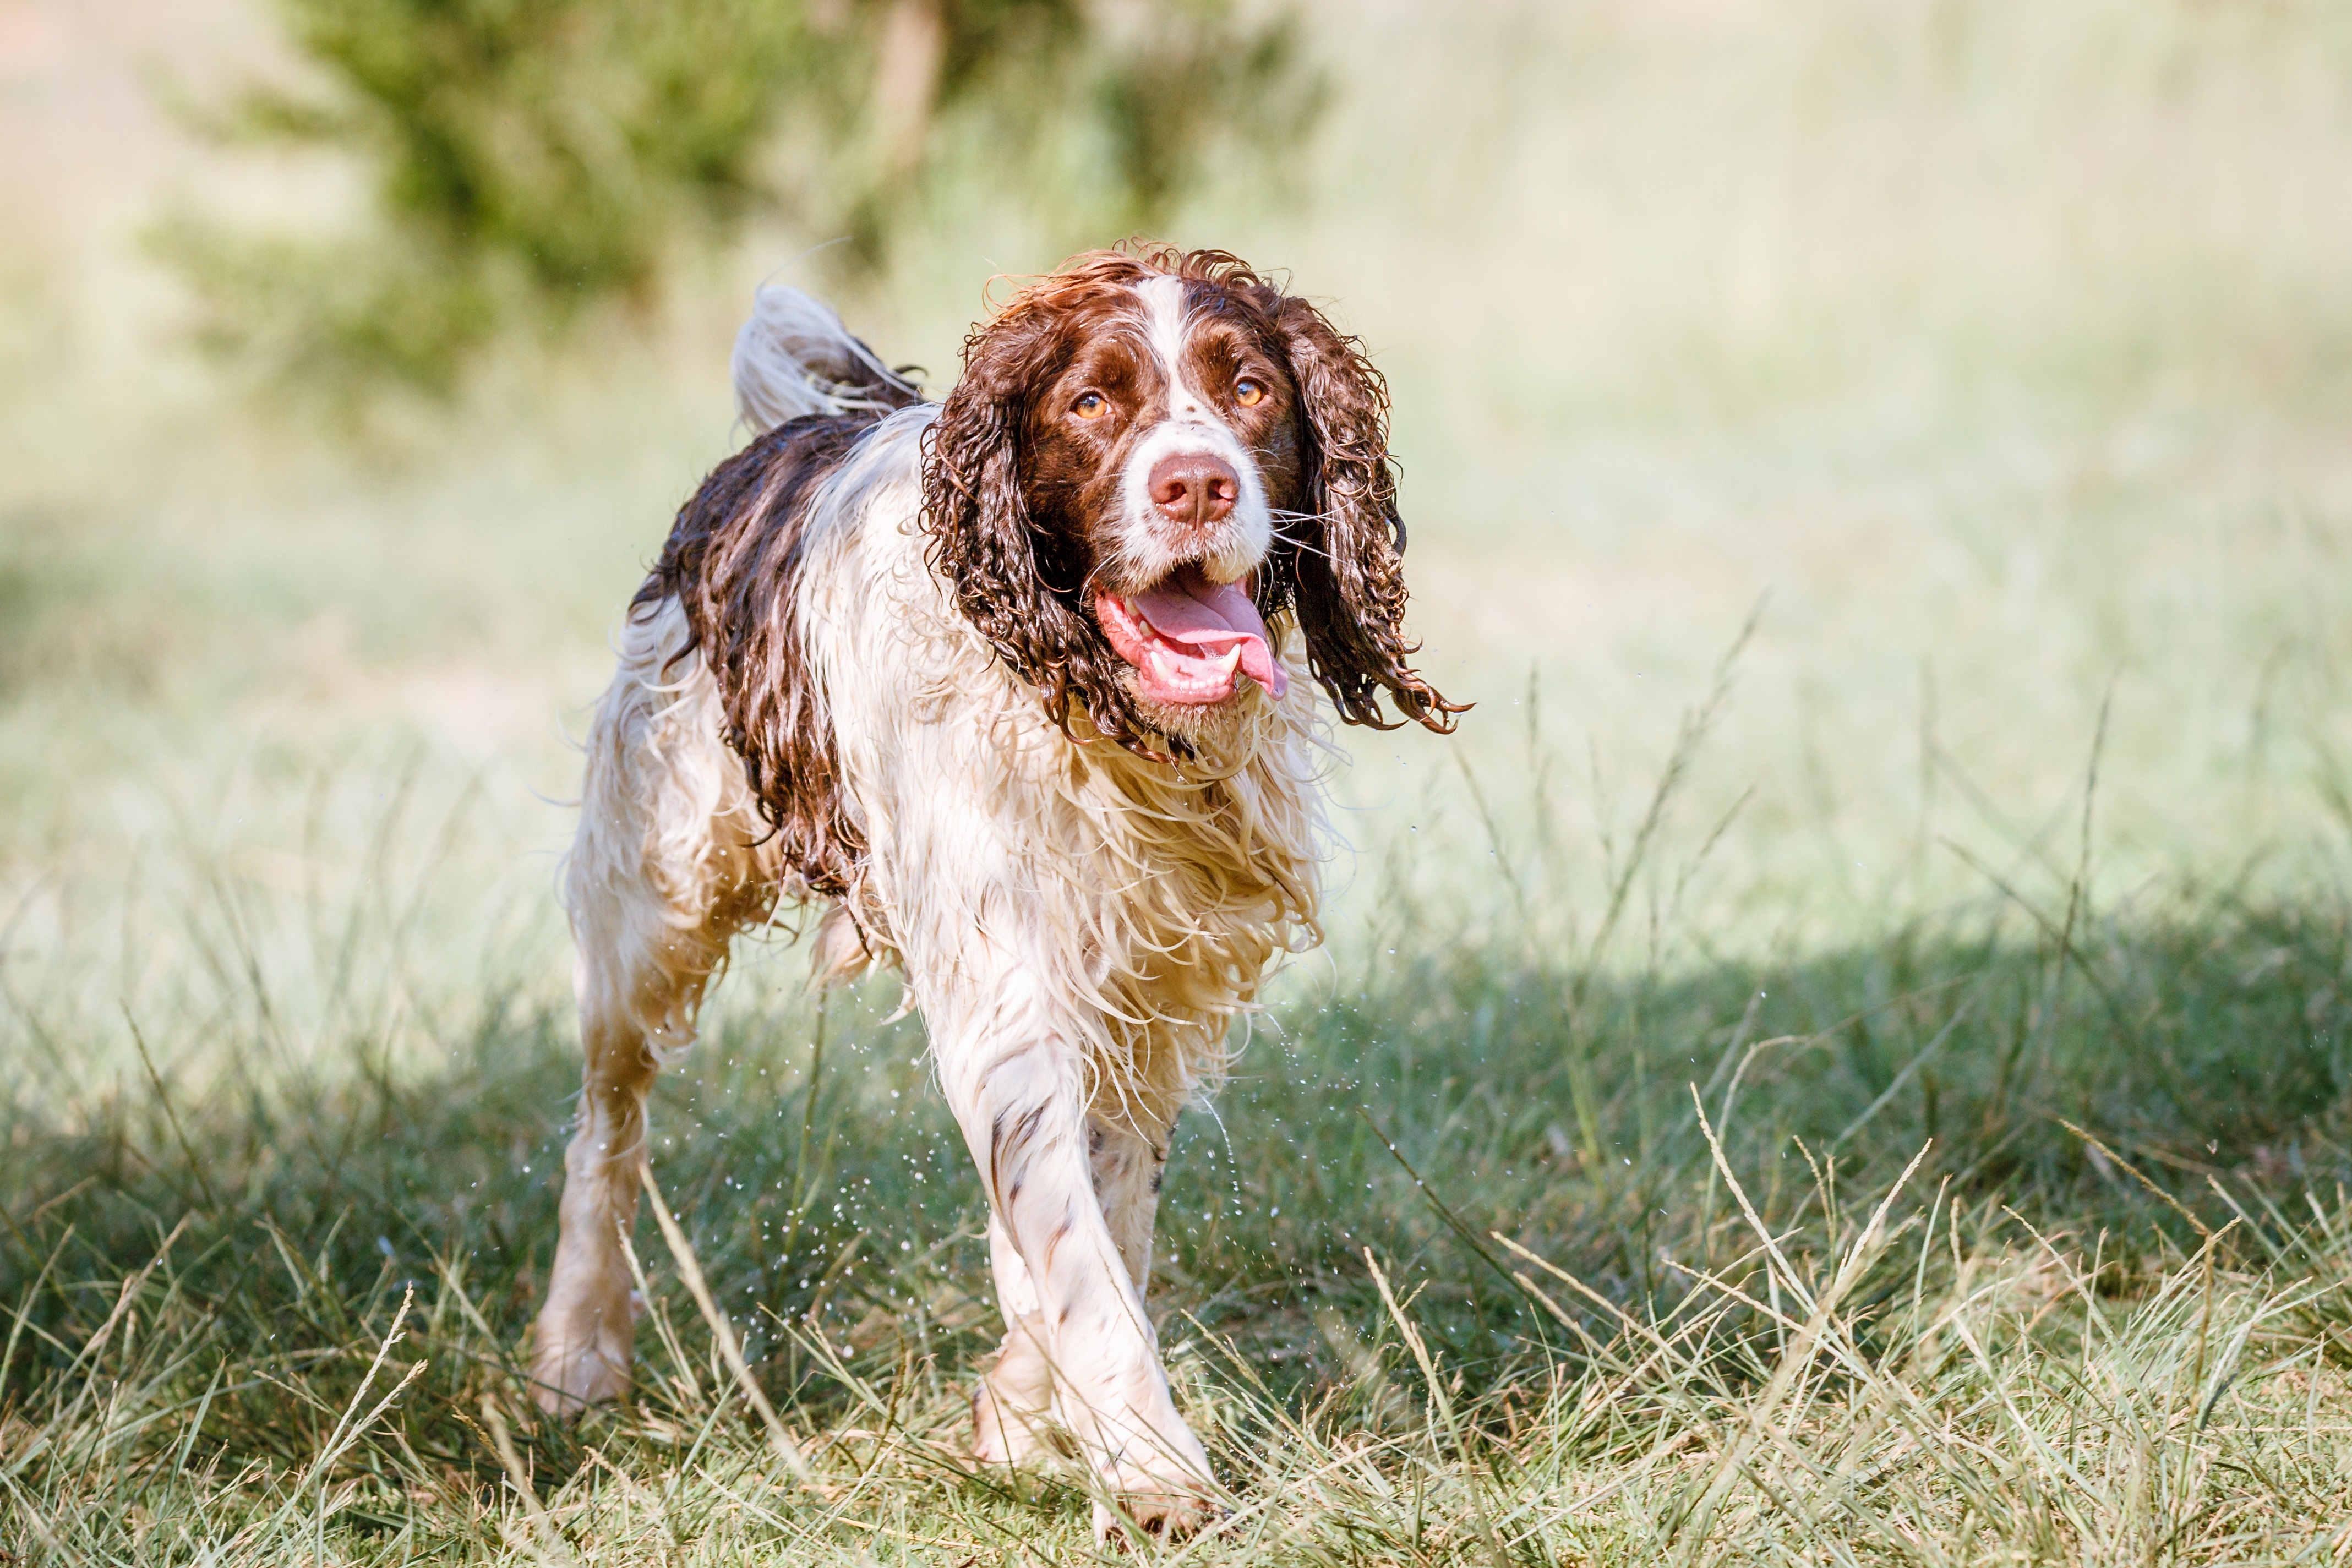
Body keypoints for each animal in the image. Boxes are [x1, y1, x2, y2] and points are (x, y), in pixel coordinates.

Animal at [531, 242, 1449, 1532]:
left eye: (1251, 387)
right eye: (1091, 400)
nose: (1197, 487)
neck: (1095, 707)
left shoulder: (1149, 991)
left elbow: (1094, 1219)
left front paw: (1025, 1411)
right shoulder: (1006, 988)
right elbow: (1077, 1253)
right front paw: (1153, 1466)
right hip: (649, 901)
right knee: (604, 1132)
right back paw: (577, 1350)